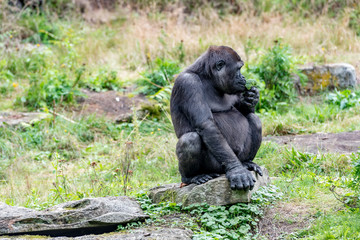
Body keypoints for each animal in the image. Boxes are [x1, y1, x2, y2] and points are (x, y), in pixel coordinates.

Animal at [169, 46, 262, 190]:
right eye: (238, 69)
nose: (243, 77)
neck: (208, 76)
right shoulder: (188, 83)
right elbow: (206, 125)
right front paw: (237, 171)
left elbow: (245, 111)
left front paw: (252, 97)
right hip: (215, 167)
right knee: (190, 139)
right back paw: (192, 177)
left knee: (254, 120)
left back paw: (246, 162)